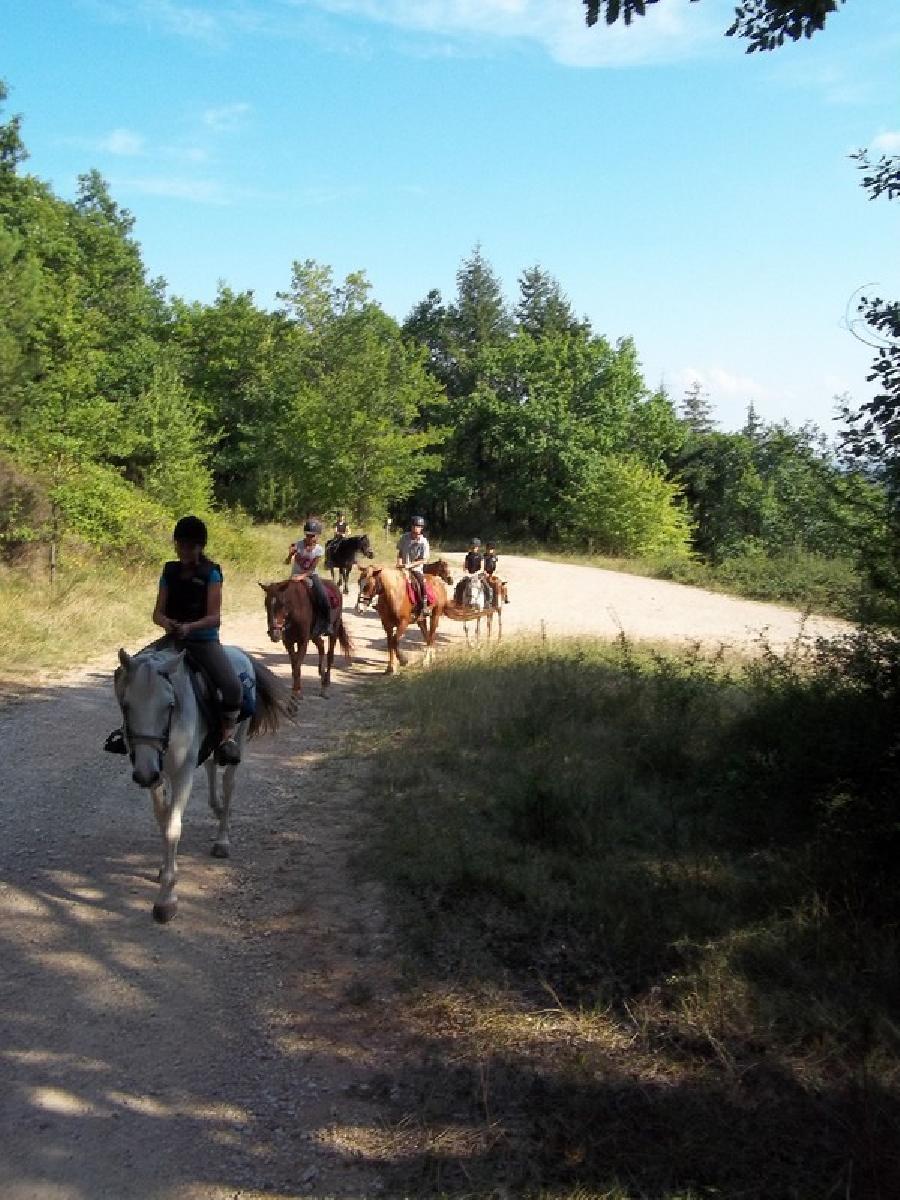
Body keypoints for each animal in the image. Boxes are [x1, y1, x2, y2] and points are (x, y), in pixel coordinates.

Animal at [114, 648, 285, 916]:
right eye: (126, 705)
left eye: (170, 705)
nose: (144, 774)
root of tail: (241, 653)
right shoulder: (155, 774)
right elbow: (163, 819)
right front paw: (164, 868)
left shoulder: (182, 774)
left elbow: (172, 828)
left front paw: (166, 899)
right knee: (211, 766)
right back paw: (217, 809)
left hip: (238, 740)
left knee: (229, 783)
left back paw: (222, 839)